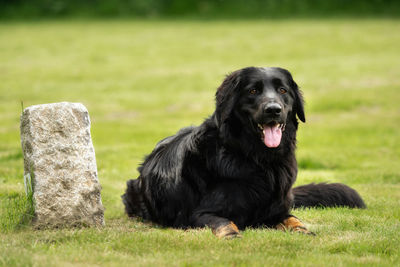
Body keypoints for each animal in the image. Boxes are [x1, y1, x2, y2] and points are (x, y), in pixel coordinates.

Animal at [122, 67, 366, 239]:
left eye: (283, 90)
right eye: (253, 90)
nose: (273, 110)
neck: (259, 160)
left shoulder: (277, 210)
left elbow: (294, 219)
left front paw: (304, 230)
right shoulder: (199, 213)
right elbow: (224, 222)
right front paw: (231, 234)